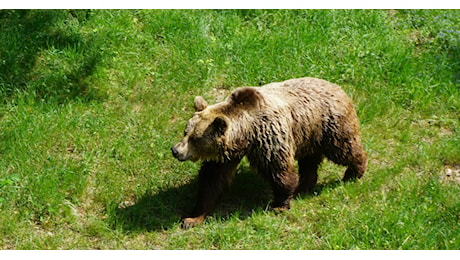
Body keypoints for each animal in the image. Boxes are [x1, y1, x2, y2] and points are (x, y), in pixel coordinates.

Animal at [171, 76, 368, 228]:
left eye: (195, 138)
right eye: (186, 132)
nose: (175, 150)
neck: (246, 134)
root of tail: (337, 87)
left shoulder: (269, 137)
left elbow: (278, 170)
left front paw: (279, 204)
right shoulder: (225, 154)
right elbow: (211, 180)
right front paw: (192, 218)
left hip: (330, 125)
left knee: (343, 149)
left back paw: (354, 172)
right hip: (309, 134)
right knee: (309, 161)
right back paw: (303, 186)